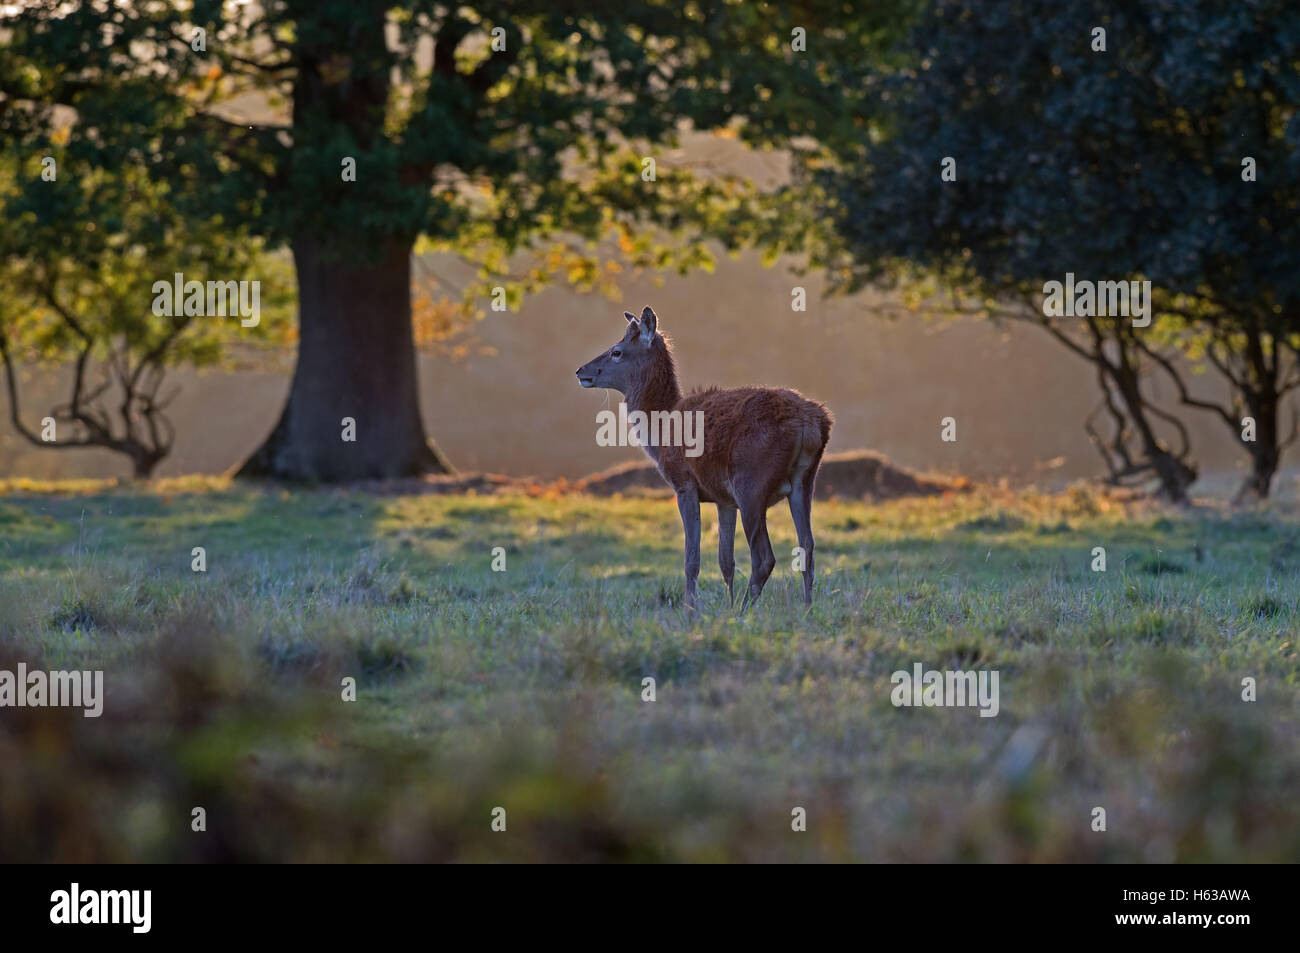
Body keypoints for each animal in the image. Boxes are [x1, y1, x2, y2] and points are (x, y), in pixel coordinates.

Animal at [577, 308, 832, 613]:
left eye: (617, 352)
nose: (581, 371)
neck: (661, 431)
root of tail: (813, 423)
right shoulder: (724, 500)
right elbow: (726, 561)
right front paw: (726, 604)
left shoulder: (683, 483)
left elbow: (692, 559)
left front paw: (691, 608)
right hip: (805, 481)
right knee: (807, 546)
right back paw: (806, 608)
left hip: (751, 481)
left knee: (764, 556)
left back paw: (745, 611)